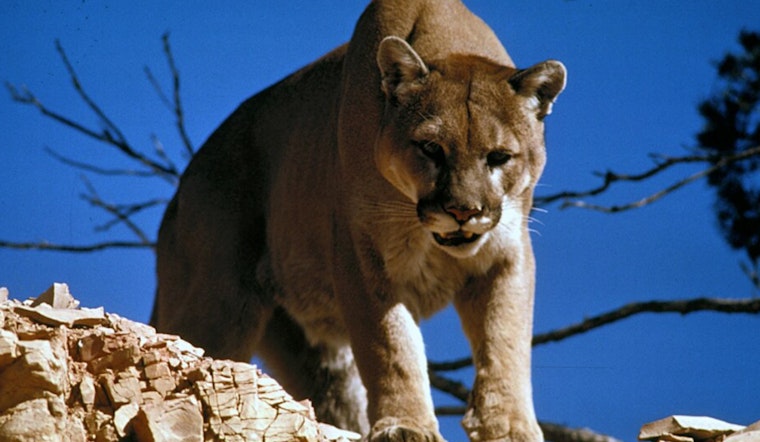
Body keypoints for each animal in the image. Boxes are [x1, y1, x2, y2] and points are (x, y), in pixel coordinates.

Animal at [151, 1, 566, 440]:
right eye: (431, 148)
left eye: (500, 156)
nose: (463, 211)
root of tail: (180, 190)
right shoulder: (363, 256)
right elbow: (391, 345)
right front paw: (406, 425)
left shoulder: (507, 254)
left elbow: (505, 341)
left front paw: (509, 427)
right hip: (218, 305)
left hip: (312, 352)